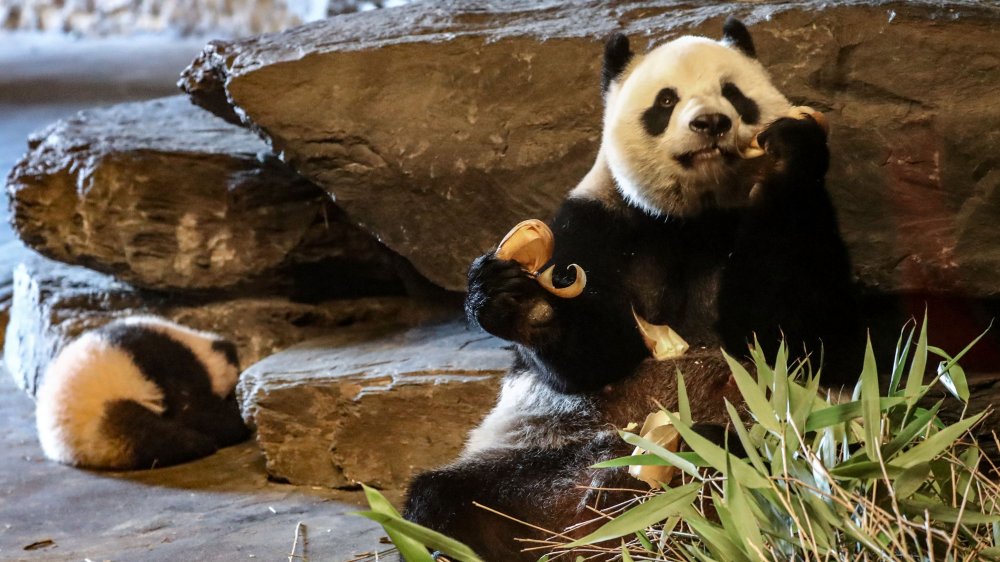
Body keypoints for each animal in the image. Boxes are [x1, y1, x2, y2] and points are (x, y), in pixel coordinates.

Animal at [35, 316, 251, 470]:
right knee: (151, 434)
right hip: (108, 412)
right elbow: (192, 407)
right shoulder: (168, 359)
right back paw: (200, 443)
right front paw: (234, 420)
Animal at [404, 18, 863, 561]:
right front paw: (522, 305)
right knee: (449, 500)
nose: (711, 122)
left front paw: (789, 151)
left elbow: (786, 328)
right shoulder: (595, 224)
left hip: (810, 431)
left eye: (734, 94)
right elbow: (594, 357)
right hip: (529, 460)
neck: (692, 221)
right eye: (665, 101)